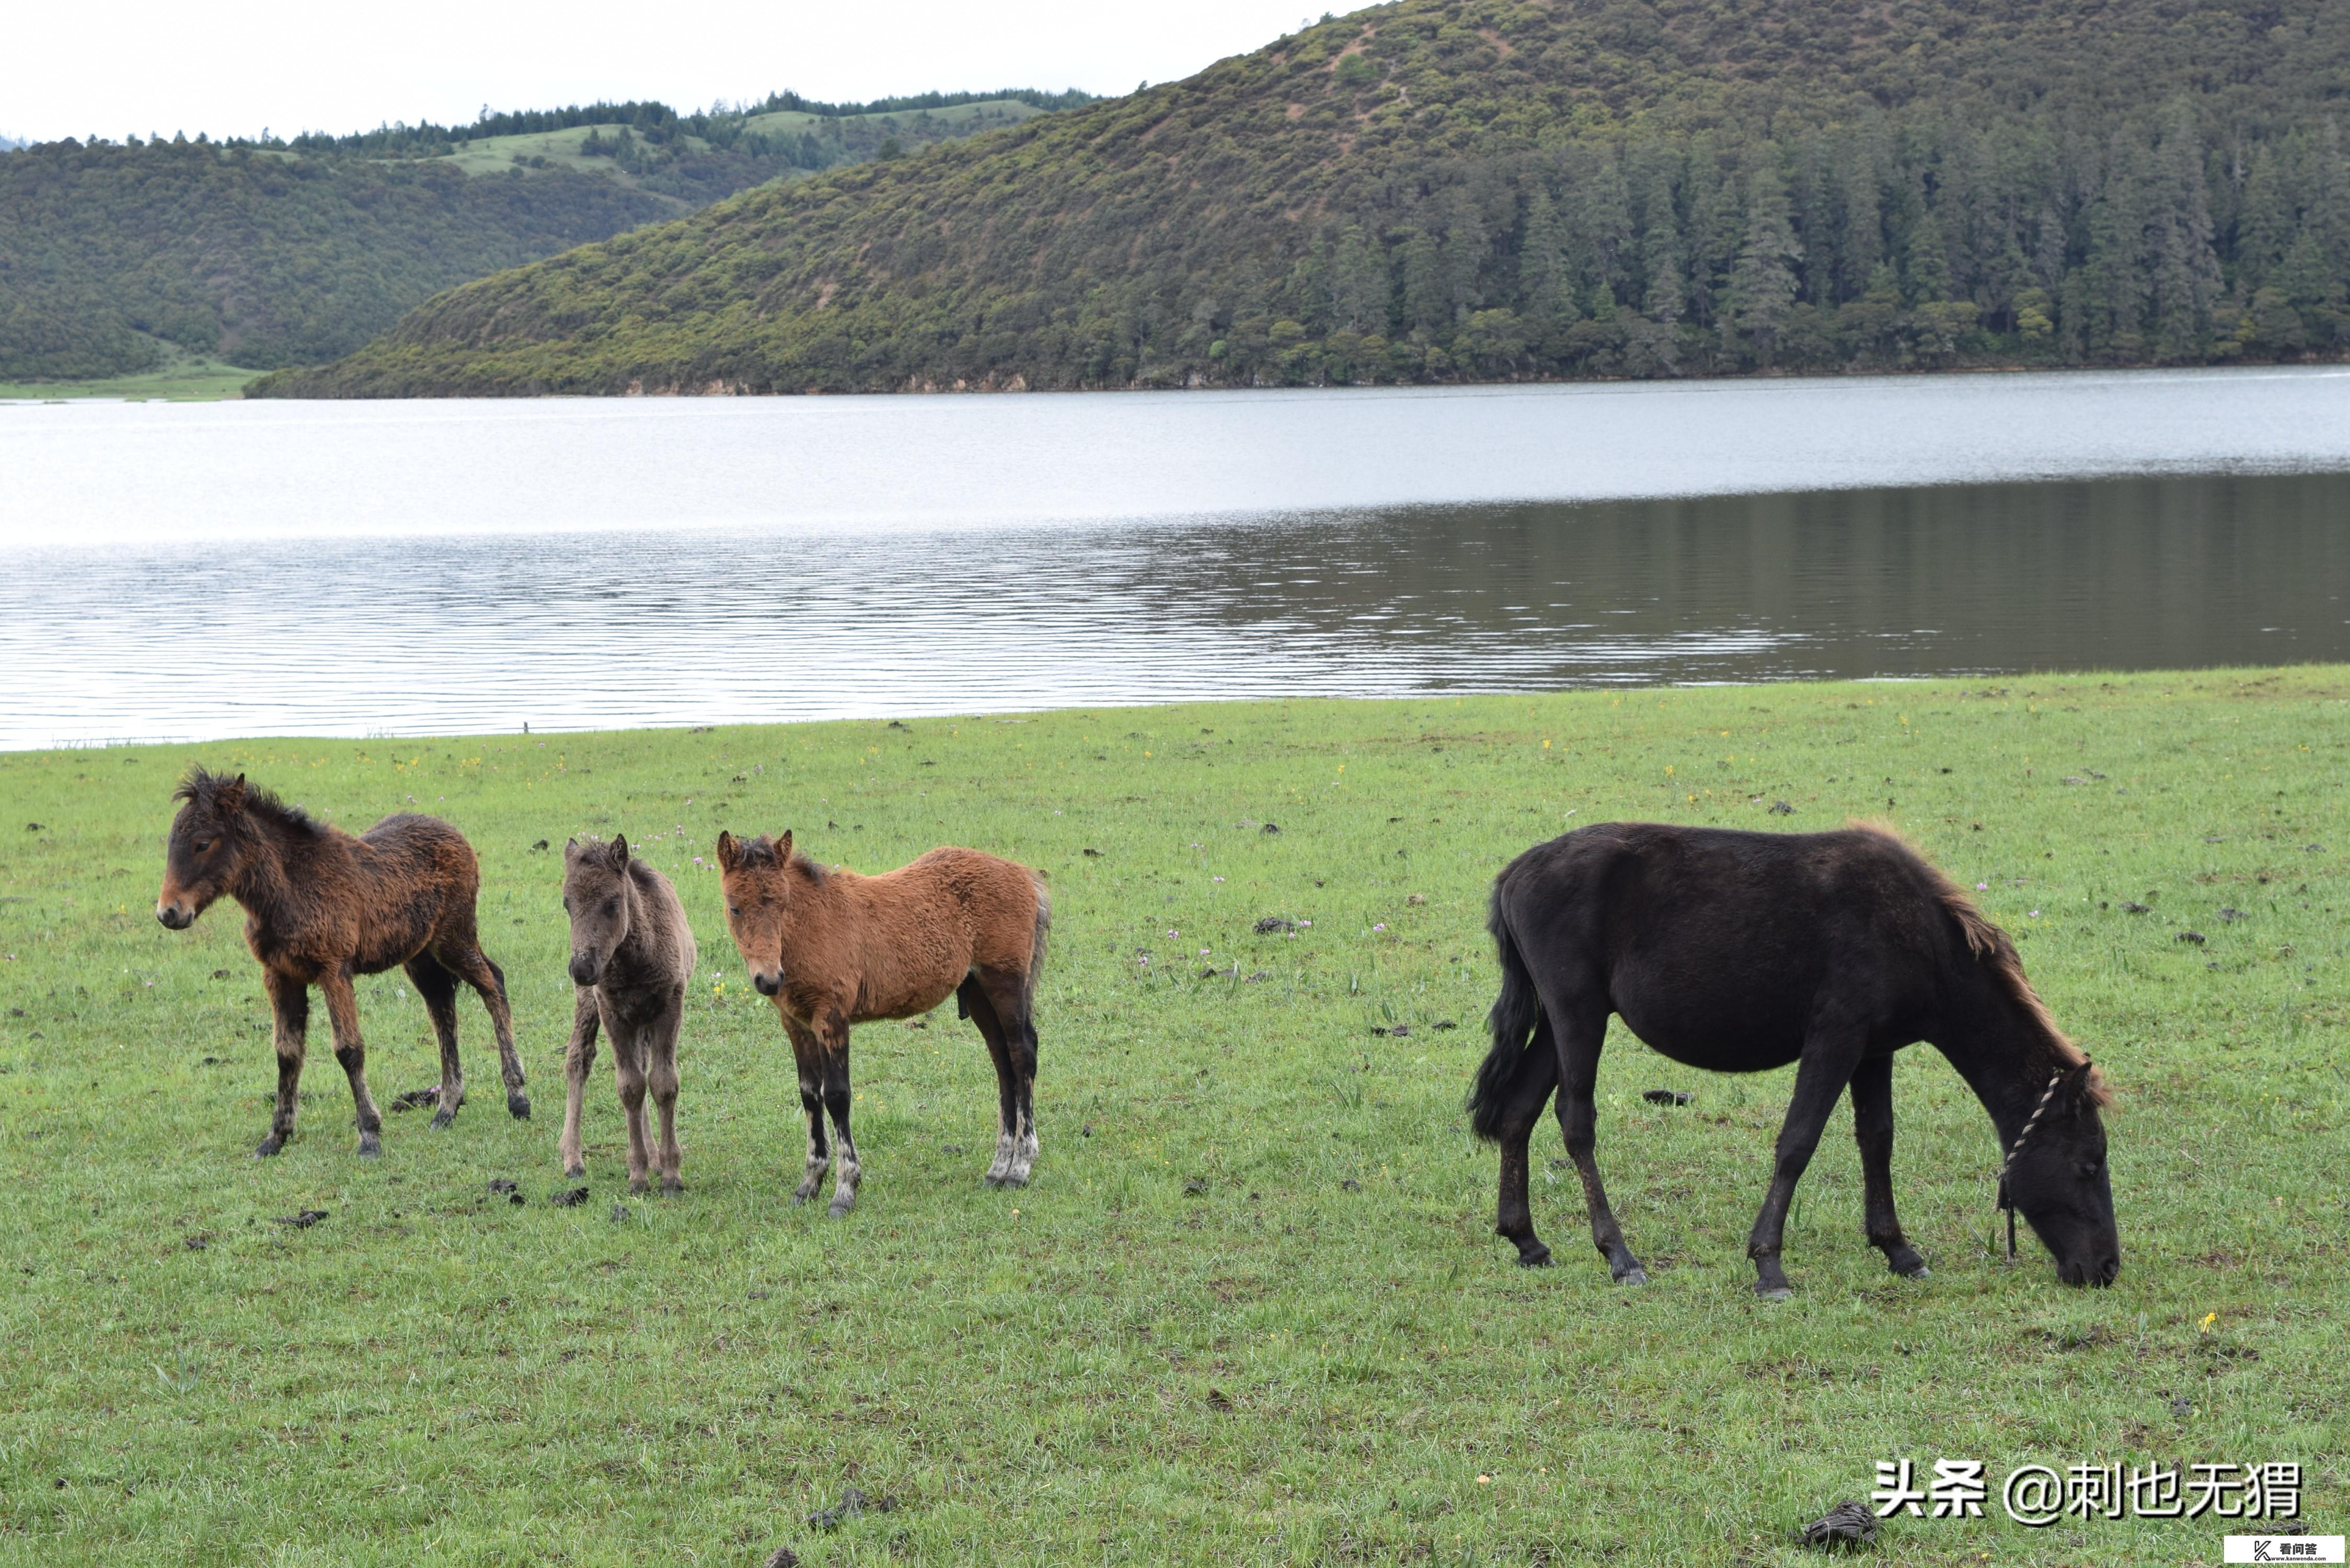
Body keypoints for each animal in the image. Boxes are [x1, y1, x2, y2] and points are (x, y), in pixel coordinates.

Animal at [709, 832, 1053, 1213]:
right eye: (735, 907)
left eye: (783, 904)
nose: (769, 980)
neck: (813, 924)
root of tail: (1025, 876)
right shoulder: (796, 1024)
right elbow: (810, 1095)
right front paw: (809, 1184)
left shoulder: (832, 1016)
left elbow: (837, 1096)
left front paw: (845, 1190)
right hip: (977, 991)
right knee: (1003, 1063)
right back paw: (998, 1169)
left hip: (1005, 981)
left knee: (1023, 1053)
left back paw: (1020, 1168)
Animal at [1466, 823, 2115, 1297]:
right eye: (2087, 1164)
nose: (2106, 1268)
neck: (1916, 935)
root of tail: (1514, 873)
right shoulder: (1834, 1037)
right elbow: (1798, 1142)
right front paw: (1768, 1265)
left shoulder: (1872, 1050)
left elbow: (1876, 1140)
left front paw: (1898, 1250)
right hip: (1576, 1015)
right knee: (1575, 1122)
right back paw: (1619, 1256)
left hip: (1562, 1023)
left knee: (1518, 1112)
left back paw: (1525, 1240)